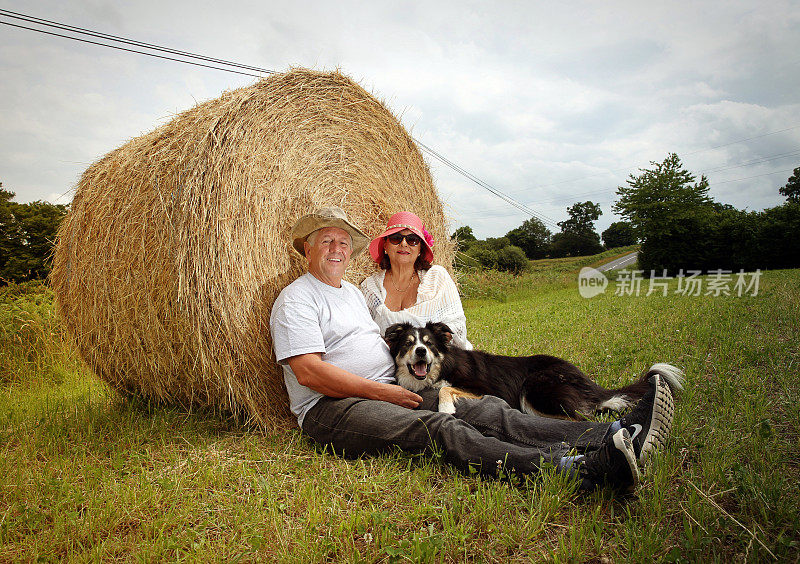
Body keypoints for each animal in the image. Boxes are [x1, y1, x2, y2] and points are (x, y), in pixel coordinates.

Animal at [384, 322, 684, 418]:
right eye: (408, 344)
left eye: (429, 344)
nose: (421, 352)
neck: (441, 367)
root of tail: (585, 380)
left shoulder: (482, 388)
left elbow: (445, 389)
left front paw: (446, 409)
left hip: (535, 387)